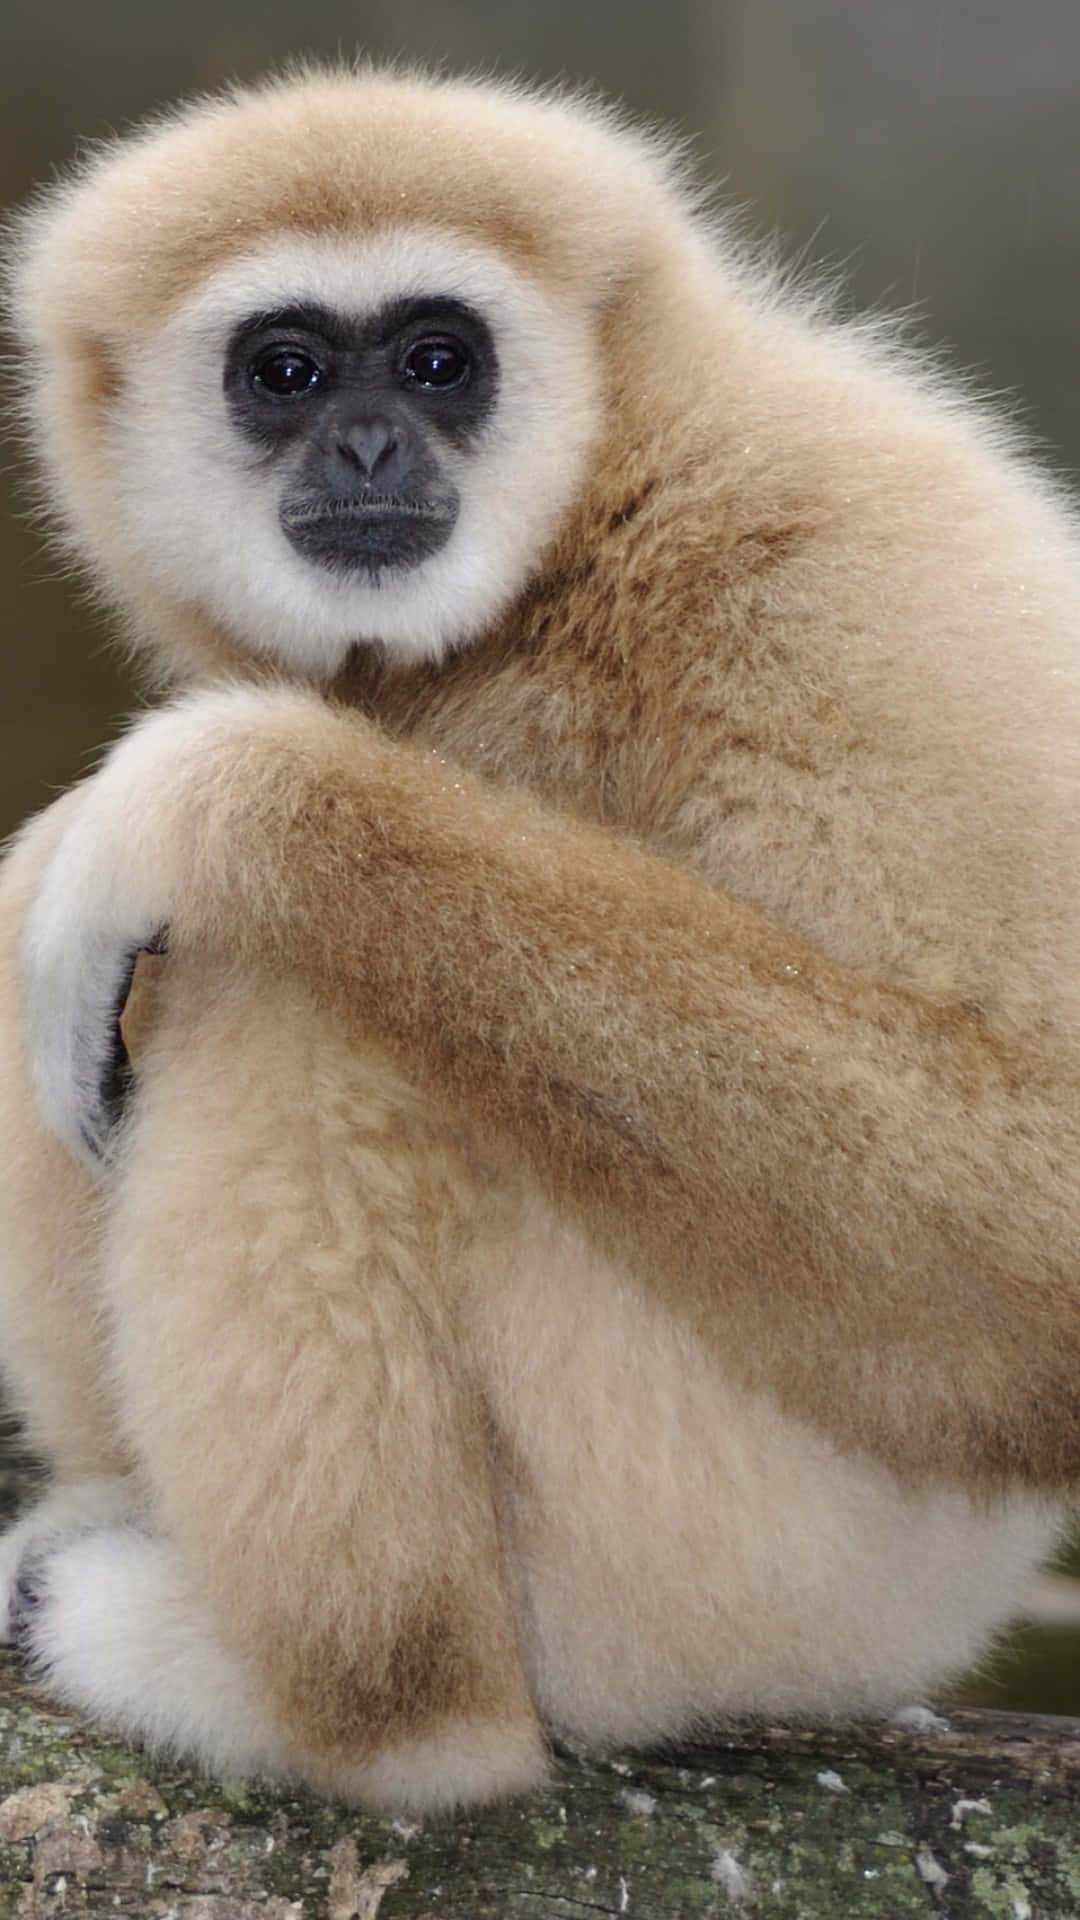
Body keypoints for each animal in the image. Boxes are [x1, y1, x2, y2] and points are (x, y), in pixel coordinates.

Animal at [0, 63, 1078, 1811]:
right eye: (286, 372)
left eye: (442, 359)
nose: (372, 437)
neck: (577, 540)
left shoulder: (836, 560)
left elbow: (1034, 1217)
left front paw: (210, 795)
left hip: (718, 1561)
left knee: (286, 998)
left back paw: (362, 1718)